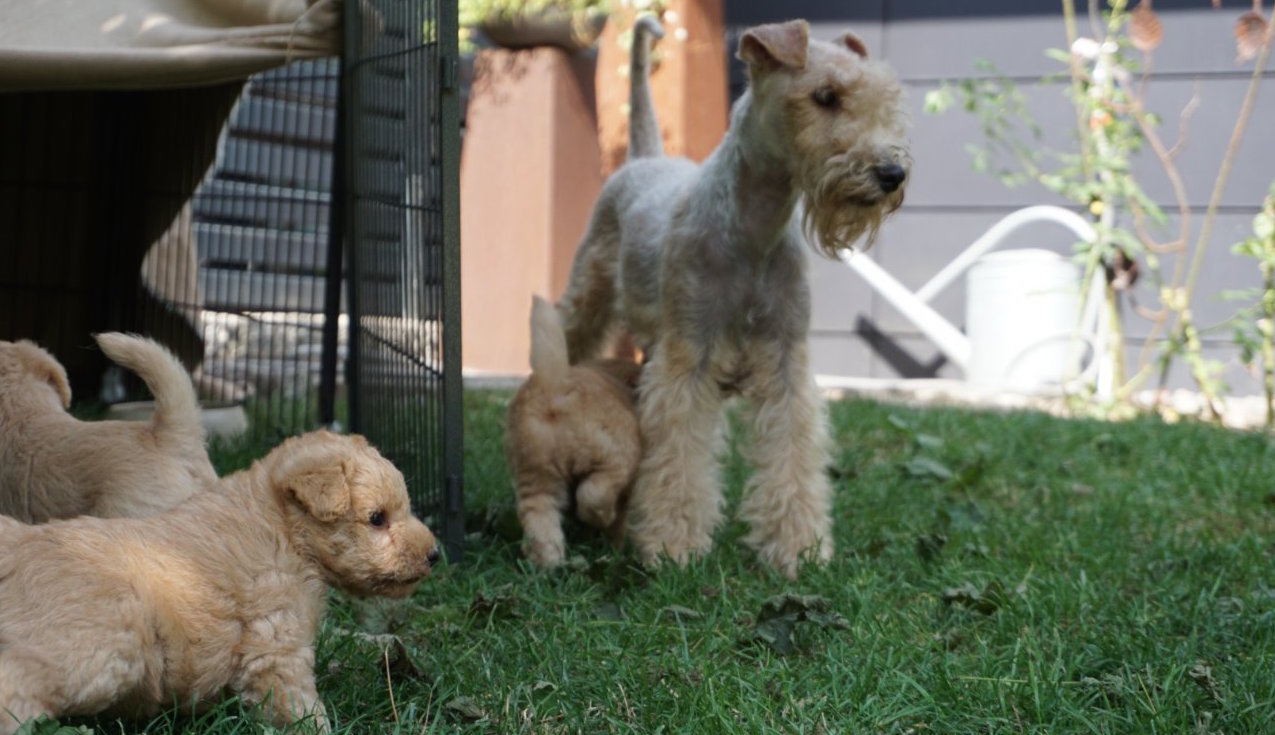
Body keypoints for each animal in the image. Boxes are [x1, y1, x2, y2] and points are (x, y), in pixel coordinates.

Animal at [0, 428, 438, 729]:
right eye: (377, 518)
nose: (434, 555)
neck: (283, 528)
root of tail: (16, 543)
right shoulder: (276, 645)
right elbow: (300, 705)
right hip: (101, 648)